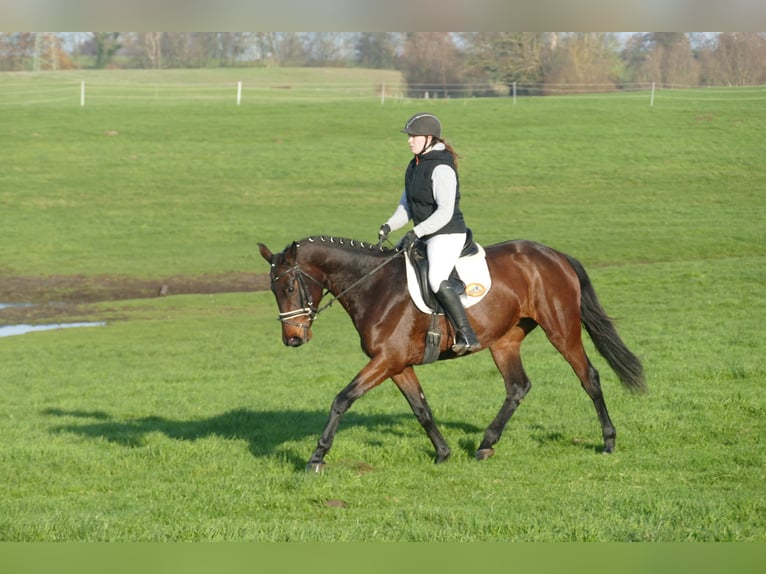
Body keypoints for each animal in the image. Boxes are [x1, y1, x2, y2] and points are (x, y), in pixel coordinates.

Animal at [260, 234, 648, 472]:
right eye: (273, 290)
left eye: (290, 286)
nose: (292, 338)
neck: (374, 286)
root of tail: (554, 255)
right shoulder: (397, 364)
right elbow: (422, 409)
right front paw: (443, 453)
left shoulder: (386, 360)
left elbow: (342, 399)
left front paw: (316, 457)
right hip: (504, 340)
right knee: (517, 387)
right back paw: (486, 444)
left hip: (562, 330)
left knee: (589, 377)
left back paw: (608, 441)